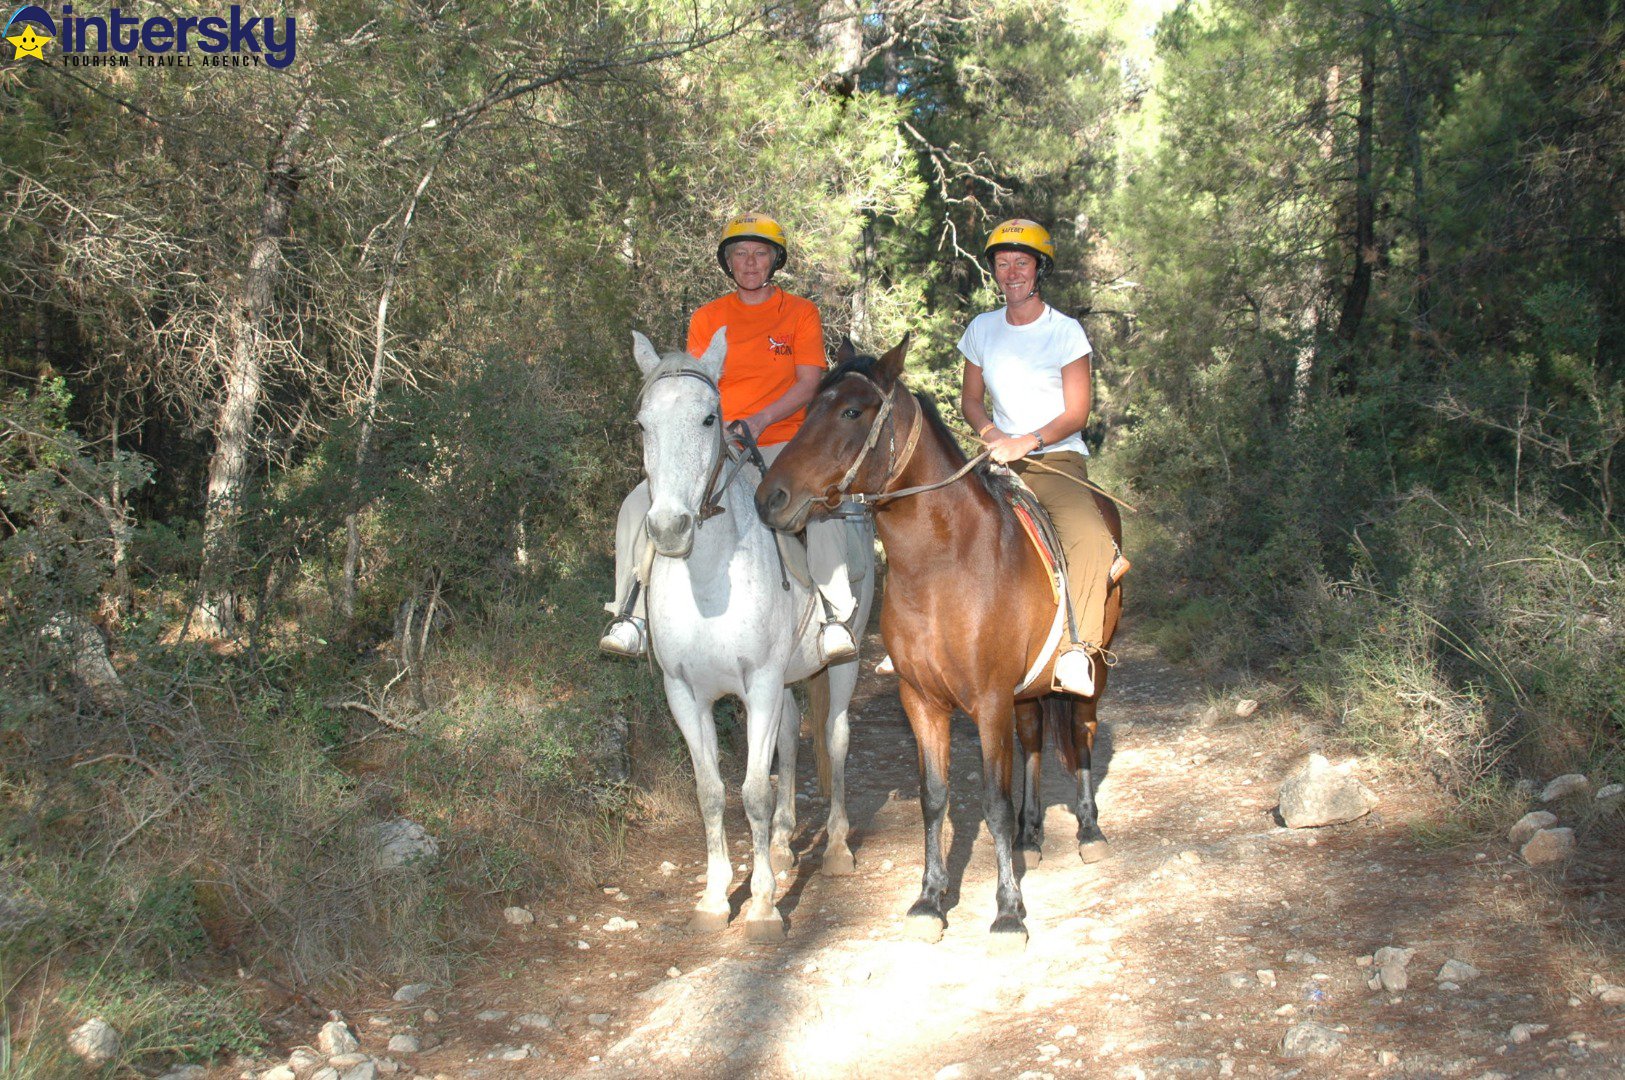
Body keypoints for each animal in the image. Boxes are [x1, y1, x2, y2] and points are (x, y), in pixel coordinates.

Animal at [624, 328, 877, 941]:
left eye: (709, 418)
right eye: (642, 424)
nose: (669, 529)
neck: (709, 581)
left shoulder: (758, 685)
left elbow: (754, 793)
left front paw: (762, 906)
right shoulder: (686, 693)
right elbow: (712, 793)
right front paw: (715, 899)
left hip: (842, 663)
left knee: (834, 739)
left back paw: (835, 850)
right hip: (783, 681)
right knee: (787, 738)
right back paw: (784, 844)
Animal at [754, 339, 1124, 954]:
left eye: (851, 411)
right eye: (806, 410)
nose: (769, 498)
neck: (944, 564)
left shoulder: (991, 700)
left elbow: (993, 802)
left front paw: (1008, 914)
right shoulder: (922, 700)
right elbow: (934, 798)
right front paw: (929, 901)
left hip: (1092, 668)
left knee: (1082, 732)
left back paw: (1089, 831)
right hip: (1027, 692)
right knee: (1034, 740)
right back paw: (1031, 837)